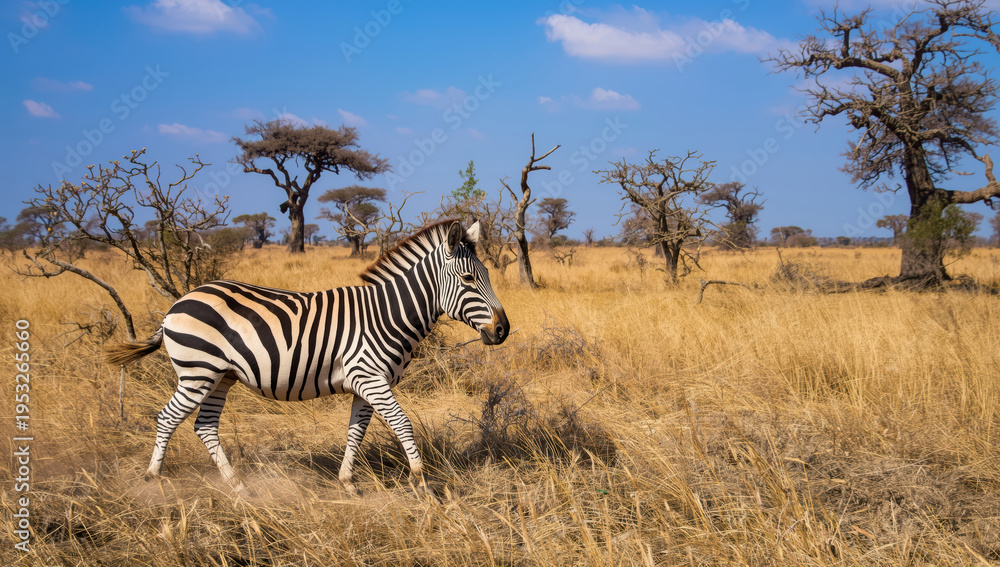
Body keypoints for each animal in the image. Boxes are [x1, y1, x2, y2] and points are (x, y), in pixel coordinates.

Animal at [105, 219, 508, 498]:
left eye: (488, 275)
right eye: (469, 279)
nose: (503, 330)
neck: (387, 314)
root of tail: (178, 302)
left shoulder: (365, 384)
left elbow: (356, 432)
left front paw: (348, 483)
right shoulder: (370, 378)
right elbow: (403, 425)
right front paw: (422, 484)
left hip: (221, 376)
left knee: (204, 426)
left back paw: (238, 486)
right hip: (197, 372)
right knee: (167, 418)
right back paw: (153, 481)